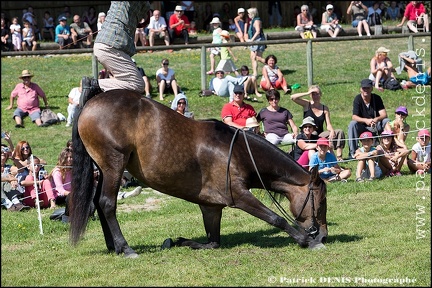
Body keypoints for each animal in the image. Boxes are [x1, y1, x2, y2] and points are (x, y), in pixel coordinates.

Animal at [71, 89, 328, 256]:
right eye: (321, 200)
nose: (323, 234)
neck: (238, 152)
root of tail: (90, 104)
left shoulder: (211, 206)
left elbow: (212, 242)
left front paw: (179, 241)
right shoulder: (238, 195)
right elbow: (276, 218)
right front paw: (307, 240)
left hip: (104, 169)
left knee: (98, 202)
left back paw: (113, 246)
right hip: (114, 164)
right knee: (107, 203)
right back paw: (125, 248)